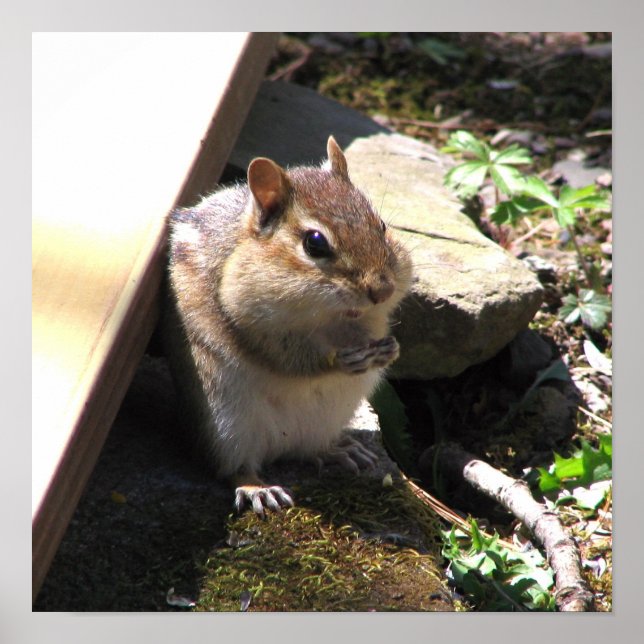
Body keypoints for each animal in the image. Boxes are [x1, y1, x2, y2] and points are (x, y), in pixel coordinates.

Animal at [163, 135, 412, 516]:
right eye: (315, 243)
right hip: (226, 426)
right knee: (235, 467)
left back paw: (340, 451)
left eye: (381, 226)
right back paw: (258, 487)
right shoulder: (250, 323)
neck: (329, 317)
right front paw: (341, 359)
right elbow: (289, 358)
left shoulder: (370, 318)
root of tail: (277, 447)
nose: (382, 289)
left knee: (308, 450)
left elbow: (375, 329)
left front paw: (391, 348)